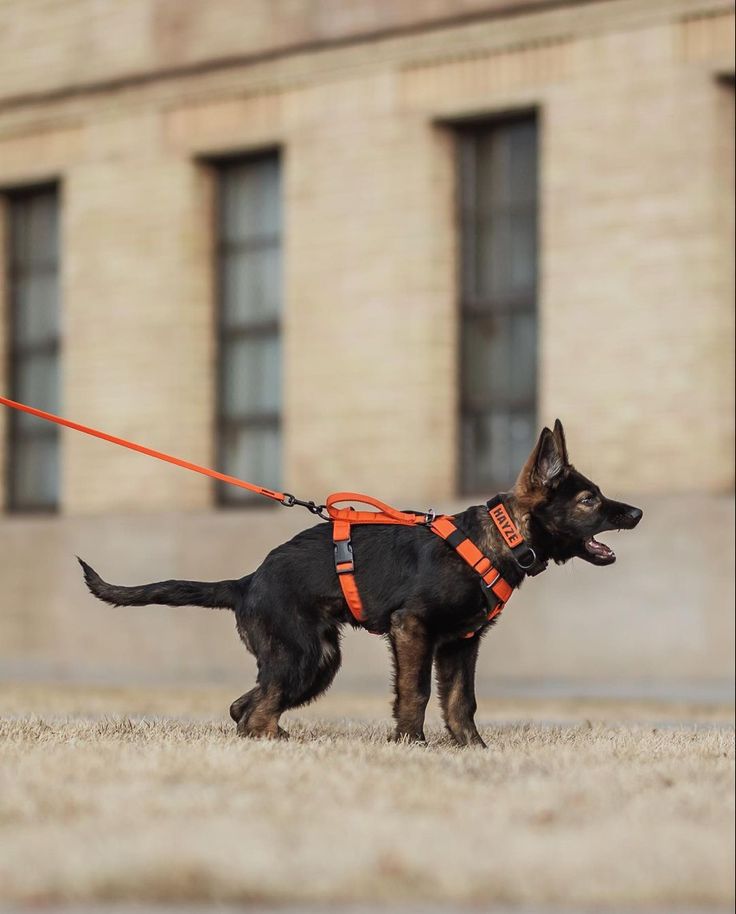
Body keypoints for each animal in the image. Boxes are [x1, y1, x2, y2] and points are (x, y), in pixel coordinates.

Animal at [79, 420, 640, 748]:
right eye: (589, 500)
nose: (636, 513)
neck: (499, 538)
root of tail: (246, 581)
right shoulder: (412, 628)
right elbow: (415, 692)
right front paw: (411, 746)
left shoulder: (462, 644)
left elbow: (461, 701)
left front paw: (472, 750)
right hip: (307, 654)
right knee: (257, 708)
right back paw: (280, 743)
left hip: (313, 660)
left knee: (246, 705)